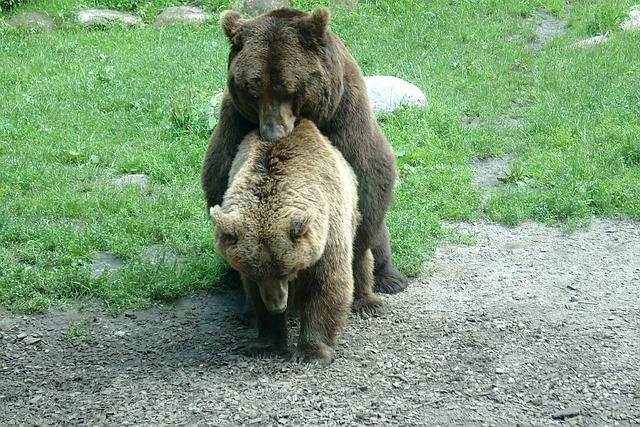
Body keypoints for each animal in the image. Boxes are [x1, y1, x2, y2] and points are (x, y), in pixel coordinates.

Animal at [202, 6, 408, 314]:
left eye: (286, 87)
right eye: (253, 88)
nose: (272, 132)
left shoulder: (345, 117)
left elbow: (368, 181)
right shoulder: (235, 124)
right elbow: (220, 181)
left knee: (379, 236)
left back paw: (389, 278)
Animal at [211, 119, 370, 364]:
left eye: (286, 270)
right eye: (255, 274)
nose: (277, 307)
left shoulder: (327, 232)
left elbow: (326, 283)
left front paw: (312, 352)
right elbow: (256, 296)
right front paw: (266, 343)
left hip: (353, 209)